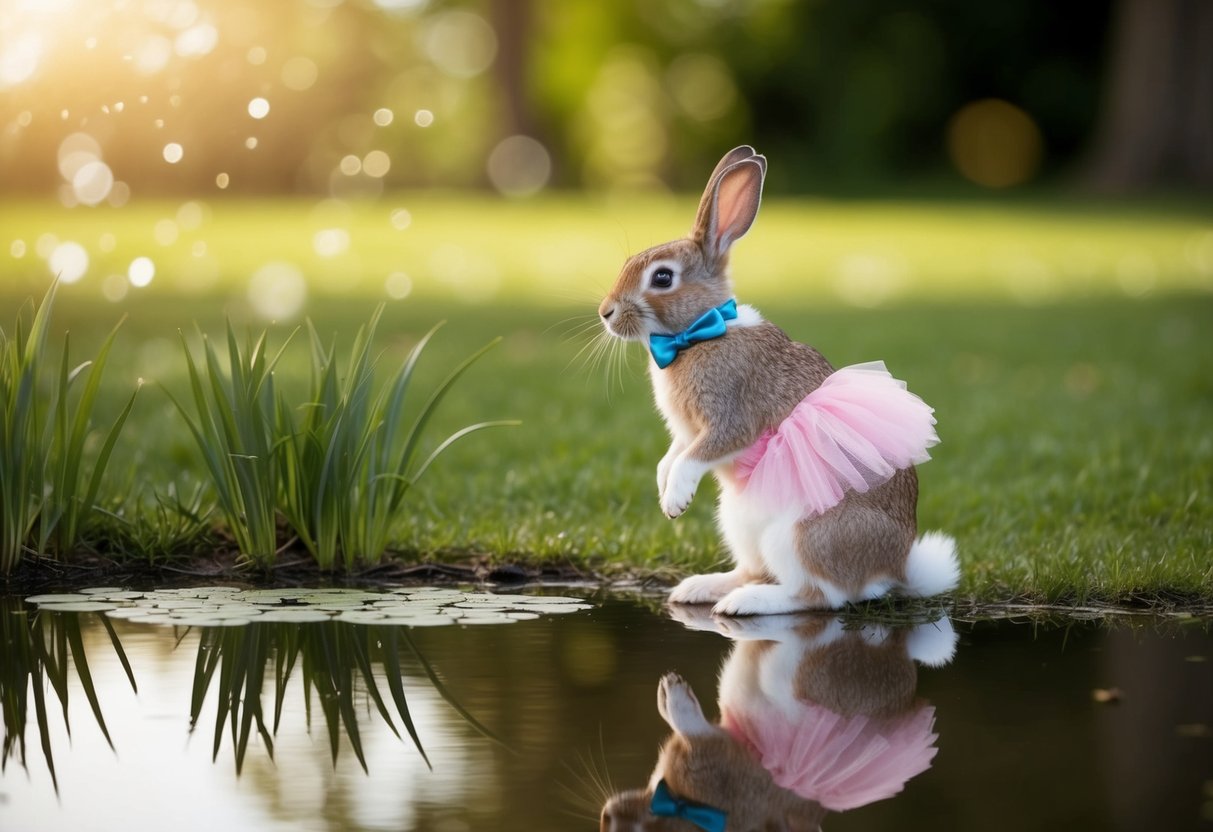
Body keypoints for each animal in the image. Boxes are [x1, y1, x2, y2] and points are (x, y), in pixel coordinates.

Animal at [597, 145, 959, 616]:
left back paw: (744, 603)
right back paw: (700, 588)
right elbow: (672, 456)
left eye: (662, 277)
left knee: (819, 595)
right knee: (757, 570)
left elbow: (694, 458)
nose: (605, 312)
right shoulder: (686, 432)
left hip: (798, 534)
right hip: (738, 521)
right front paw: (663, 487)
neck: (698, 333)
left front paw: (675, 501)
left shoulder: (730, 419)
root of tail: (892, 569)